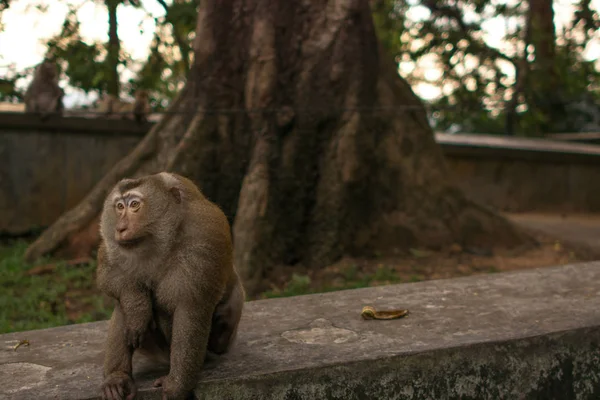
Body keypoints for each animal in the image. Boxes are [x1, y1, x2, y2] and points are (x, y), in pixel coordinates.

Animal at [97, 171, 245, 400]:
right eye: (119, 207)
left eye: (134, 205)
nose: (120, 228)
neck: (159, 240)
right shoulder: (114, 243)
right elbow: (109, 269)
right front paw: (136, 307)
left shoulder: (204, 239)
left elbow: (190, 308)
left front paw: (177, 385)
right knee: (124, 306)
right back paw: (117, 378)